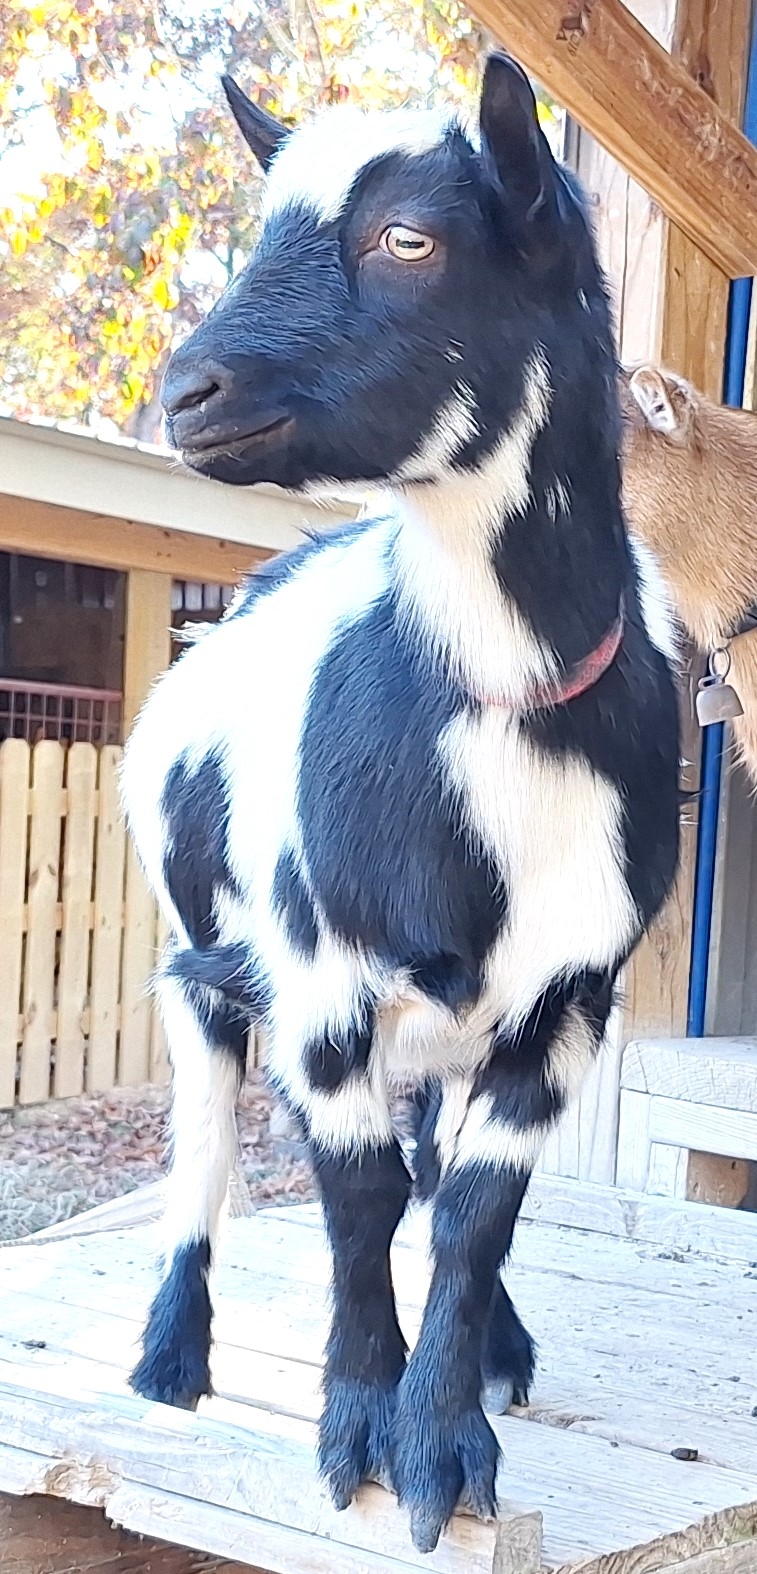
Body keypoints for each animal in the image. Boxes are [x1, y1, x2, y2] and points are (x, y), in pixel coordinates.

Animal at [122, 55, 680, 1553]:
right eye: (262, 228)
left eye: (409, 239)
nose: (186, 392)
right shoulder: (319, 974)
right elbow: (357, 1197)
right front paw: (356, 1432)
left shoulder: (567, 996)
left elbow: (473, 1210)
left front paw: (440, 1442)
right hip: (199, 949)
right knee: (205, 1139)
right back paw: (169, 1353)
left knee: (435, 1158)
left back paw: (494, 1345)